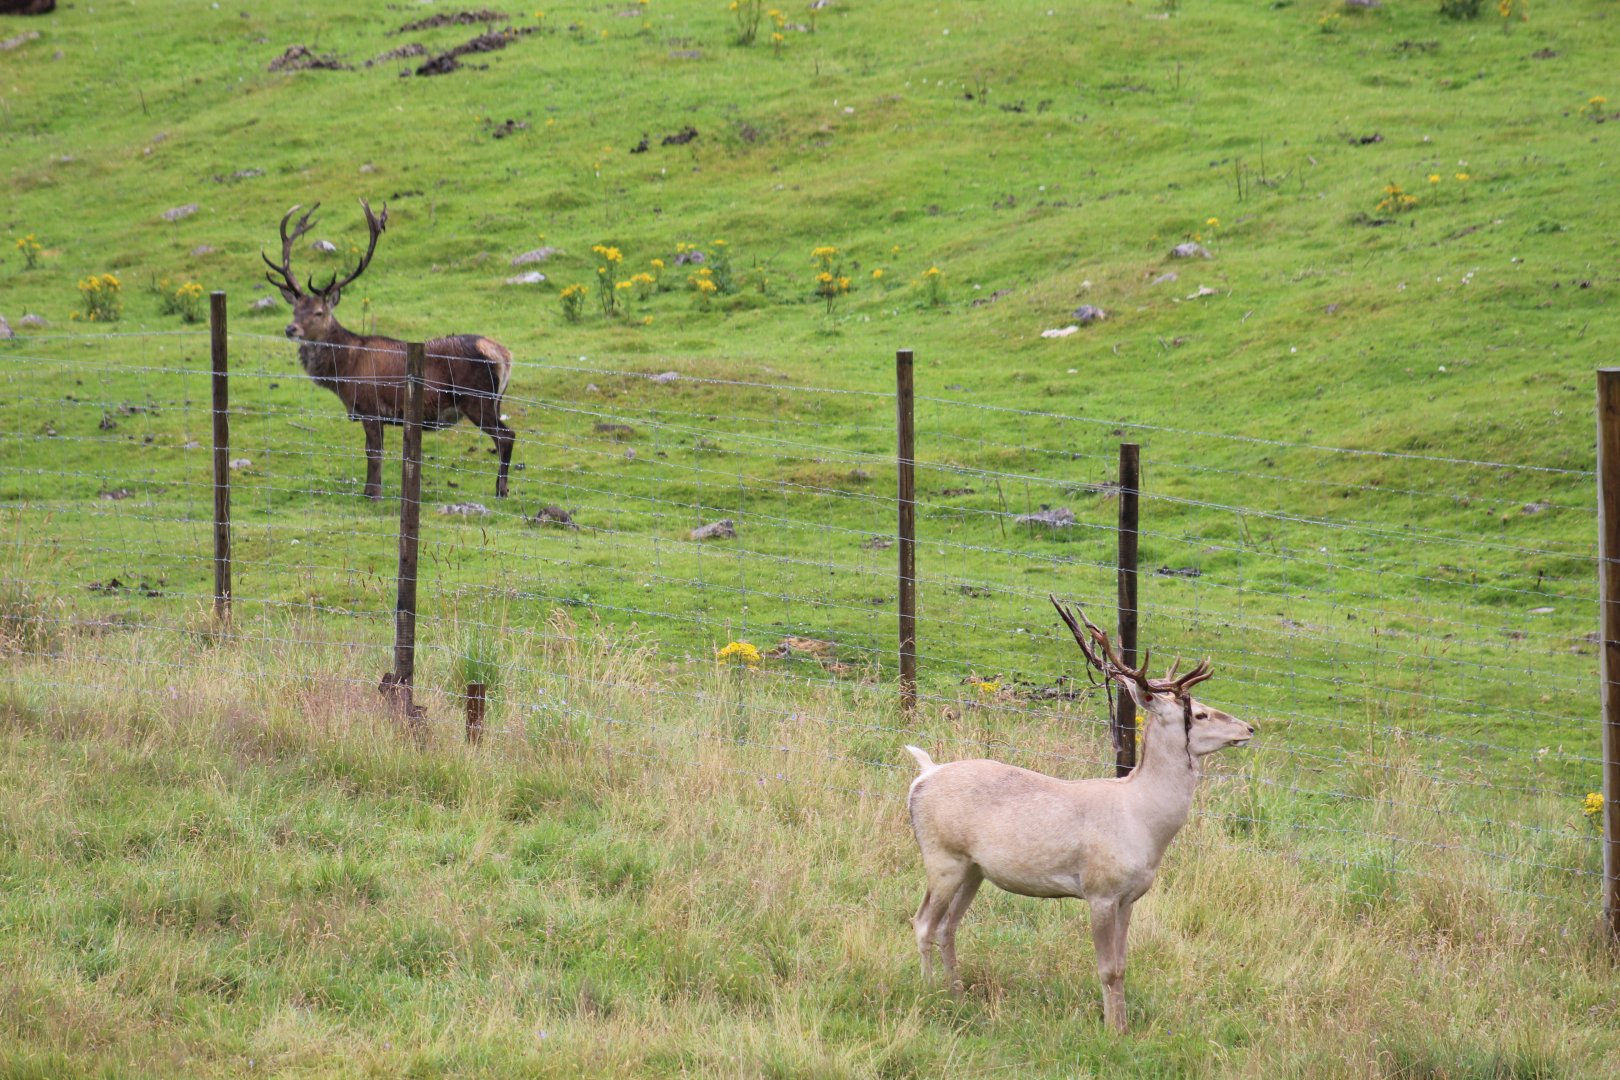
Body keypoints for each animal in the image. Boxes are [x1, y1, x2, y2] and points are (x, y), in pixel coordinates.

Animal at [262, 199, 516, 500]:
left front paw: (371, 494)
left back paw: (500, 491)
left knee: (507, 436)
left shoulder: (370, 406)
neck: (345, 368)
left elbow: (373, 452)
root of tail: (504, 354)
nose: (291, 329)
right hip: (493, 401)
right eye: (295, 309)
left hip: (477, 399)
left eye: (319, 312)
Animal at [903, 595, 1256, 1033]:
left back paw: (957, 993)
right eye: (1201, 713)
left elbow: (1122, 966)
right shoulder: (1100, 889)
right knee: (923, 923)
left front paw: (1123, 1027)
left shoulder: (1129, 897)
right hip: (942, 857)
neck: (1142, 821)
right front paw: (1112, 1032)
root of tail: (923, 774)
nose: (1249, 728)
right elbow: (1107, 969)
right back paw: (930, 993)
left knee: (948, 926)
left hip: (973, 868)